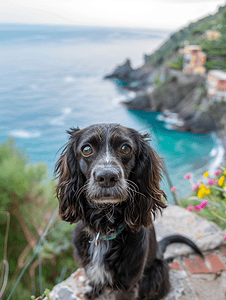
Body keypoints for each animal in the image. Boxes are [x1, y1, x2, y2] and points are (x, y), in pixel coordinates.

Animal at [55, 123, 203, 298]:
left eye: (125, 148)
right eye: (86, 149)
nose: (107, 177)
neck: (104, 229)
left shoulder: (128, 283)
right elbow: (95, 280)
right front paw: (92, 290)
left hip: (158, 271)